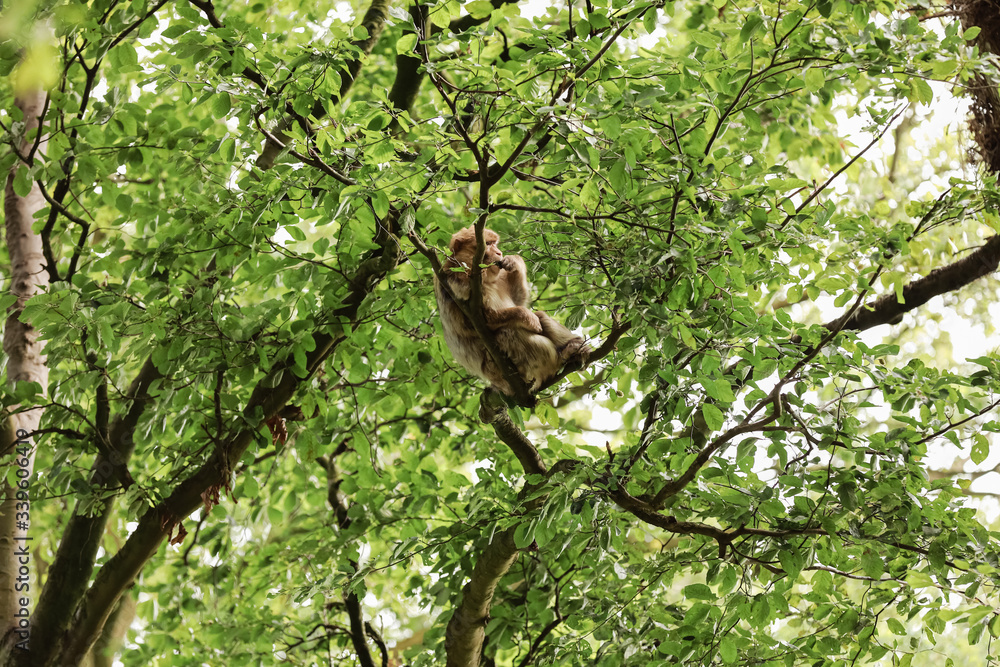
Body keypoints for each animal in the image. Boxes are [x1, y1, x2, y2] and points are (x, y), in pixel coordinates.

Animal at [434, 226, 590, 396]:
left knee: (539, 317)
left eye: (494, 243)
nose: (499, 252)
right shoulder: (457, 281)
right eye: (487, 244)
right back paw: (562, 358)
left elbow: (518, 300)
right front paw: (527, 317)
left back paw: (575, 348)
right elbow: (477, 321)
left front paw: (515, 261)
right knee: (507, 333)